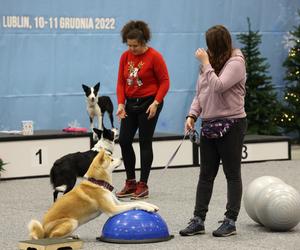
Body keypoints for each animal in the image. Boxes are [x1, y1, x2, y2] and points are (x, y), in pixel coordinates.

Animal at [27, 149, 158, 239]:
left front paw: (151, 206)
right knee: (53, 237)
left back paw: (72, 236)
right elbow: (132, 205)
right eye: (111, 159)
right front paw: (149, 208)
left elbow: (137, 202)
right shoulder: (113, 209)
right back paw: (67, 238)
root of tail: (42, 230)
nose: (121, 158)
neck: (98, 183)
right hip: (71, 221)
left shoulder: (117, 203)